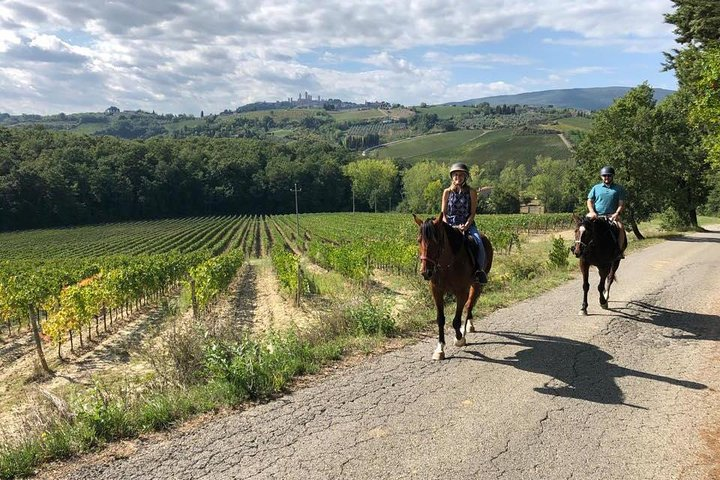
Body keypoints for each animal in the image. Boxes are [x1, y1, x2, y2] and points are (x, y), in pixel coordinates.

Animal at [414, 215, 492, 360]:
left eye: (436, 241)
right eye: (419, 240)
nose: (426, 272)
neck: (447, 265)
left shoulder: (461, 292)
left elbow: (456, 320)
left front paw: (459, 338)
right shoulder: (437, 291)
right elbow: (440, 319)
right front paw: (440, 349)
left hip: (477, 284)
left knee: (470, 304)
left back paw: (467, 327)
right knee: (470, 304)